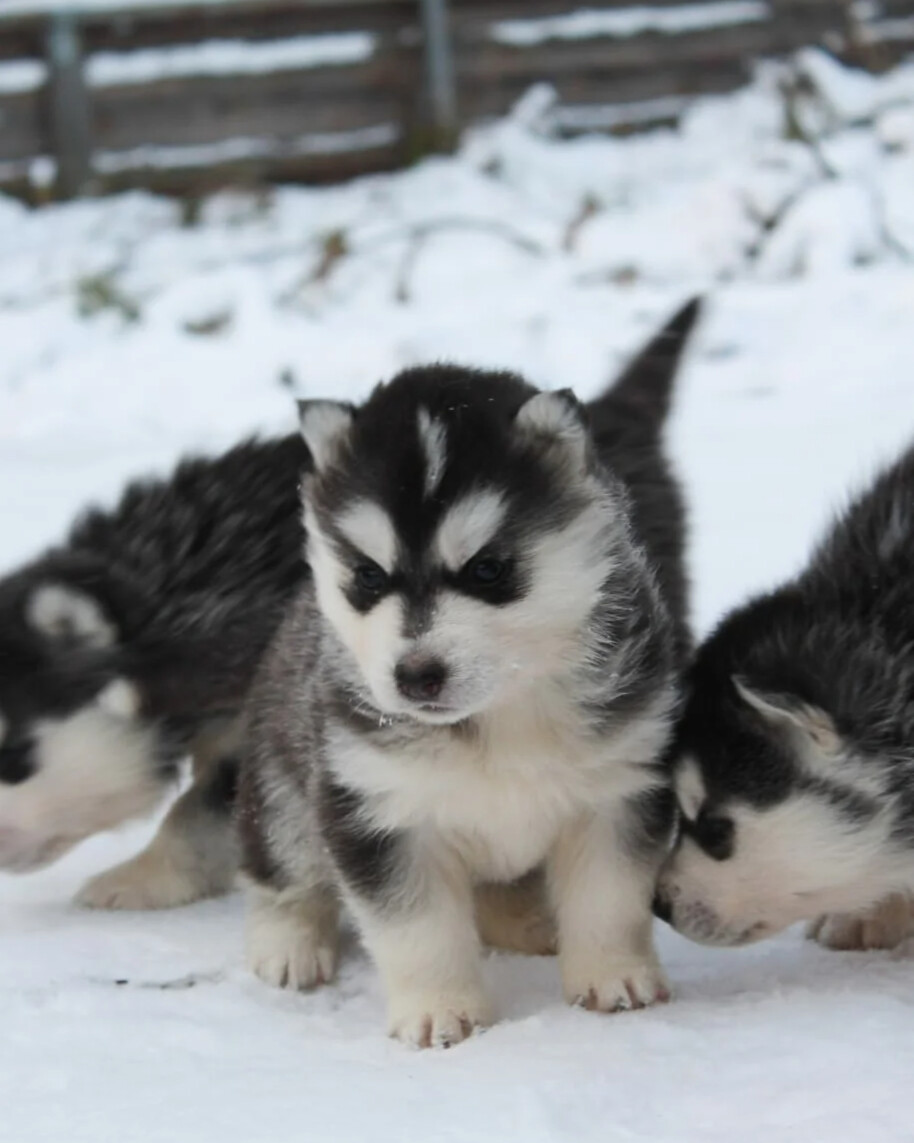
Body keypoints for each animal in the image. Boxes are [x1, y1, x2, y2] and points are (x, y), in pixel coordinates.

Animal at [237, 301, 699, 1046]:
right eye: (368, 577)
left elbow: (609, 899)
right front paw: (439, 1010)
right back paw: (288, 944)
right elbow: (417, 928)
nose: (416, 674)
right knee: (283, 871)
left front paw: (614, 978)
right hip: (281, 790)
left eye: (487, 569)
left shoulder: (620, 788)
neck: (499, 716)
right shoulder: (377, 809)